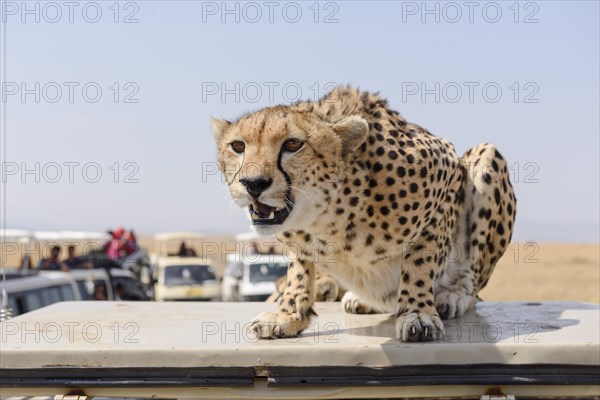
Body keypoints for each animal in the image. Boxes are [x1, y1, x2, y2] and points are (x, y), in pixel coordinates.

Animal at [211, 86, 516, 342]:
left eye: (293, 145)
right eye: (238, 146)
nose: (253, 183)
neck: (327, 214)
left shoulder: (447, 169)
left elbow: (420, 259)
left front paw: (418, 312)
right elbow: (299, 269)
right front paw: (289, 315)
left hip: (487, 158)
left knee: (473, 279)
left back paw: (453, 294)